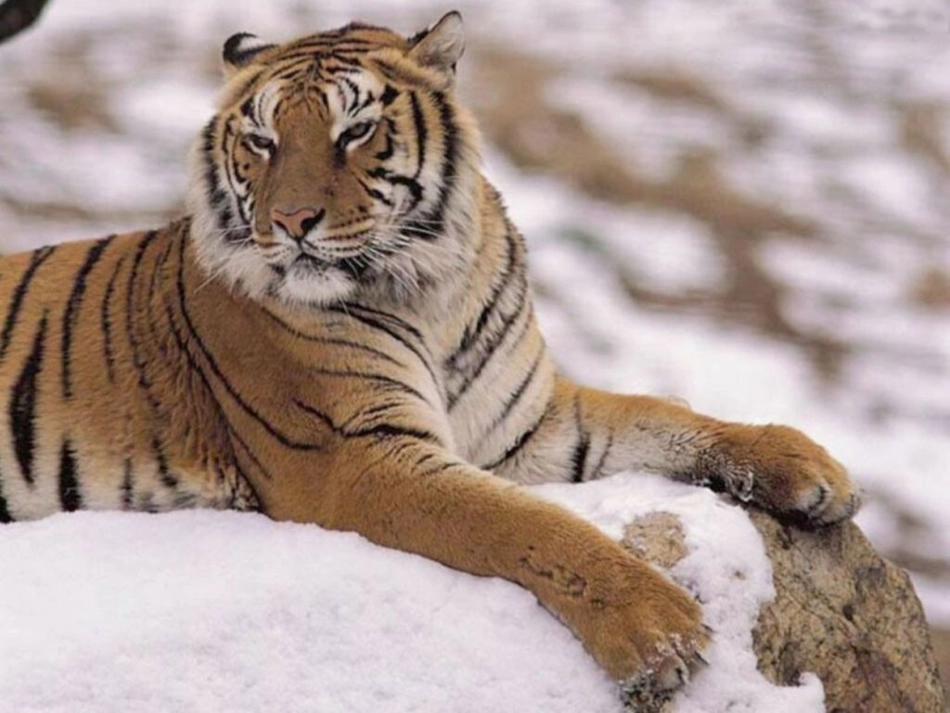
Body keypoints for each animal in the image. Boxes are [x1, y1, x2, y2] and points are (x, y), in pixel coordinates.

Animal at [0, 11, 859, 705]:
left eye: (353, 131)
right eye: (262, 141)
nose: (290, 221)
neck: (431, 289)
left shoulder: (525, 427)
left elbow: (659, 414)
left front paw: (808, 465)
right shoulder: (359, 458)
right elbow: (530, 524)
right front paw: (659, 630)